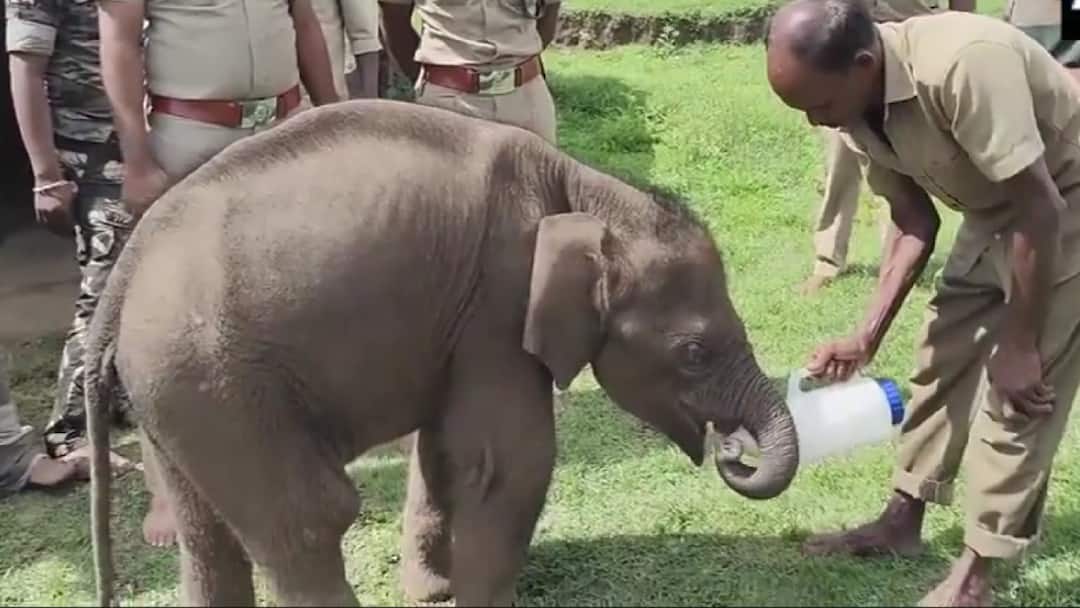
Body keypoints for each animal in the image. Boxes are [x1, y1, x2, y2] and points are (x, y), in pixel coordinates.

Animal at [84, 98, 800, 607]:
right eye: (695, 352)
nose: (733, 452)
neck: (584, 188)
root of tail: (122, 277)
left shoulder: (460, 321)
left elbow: (444, 454)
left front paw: (432, 591)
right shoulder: (498, 299)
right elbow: (509, 461)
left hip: (173, 395)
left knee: (205, 535)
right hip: (220, 382)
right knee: (311, 518)